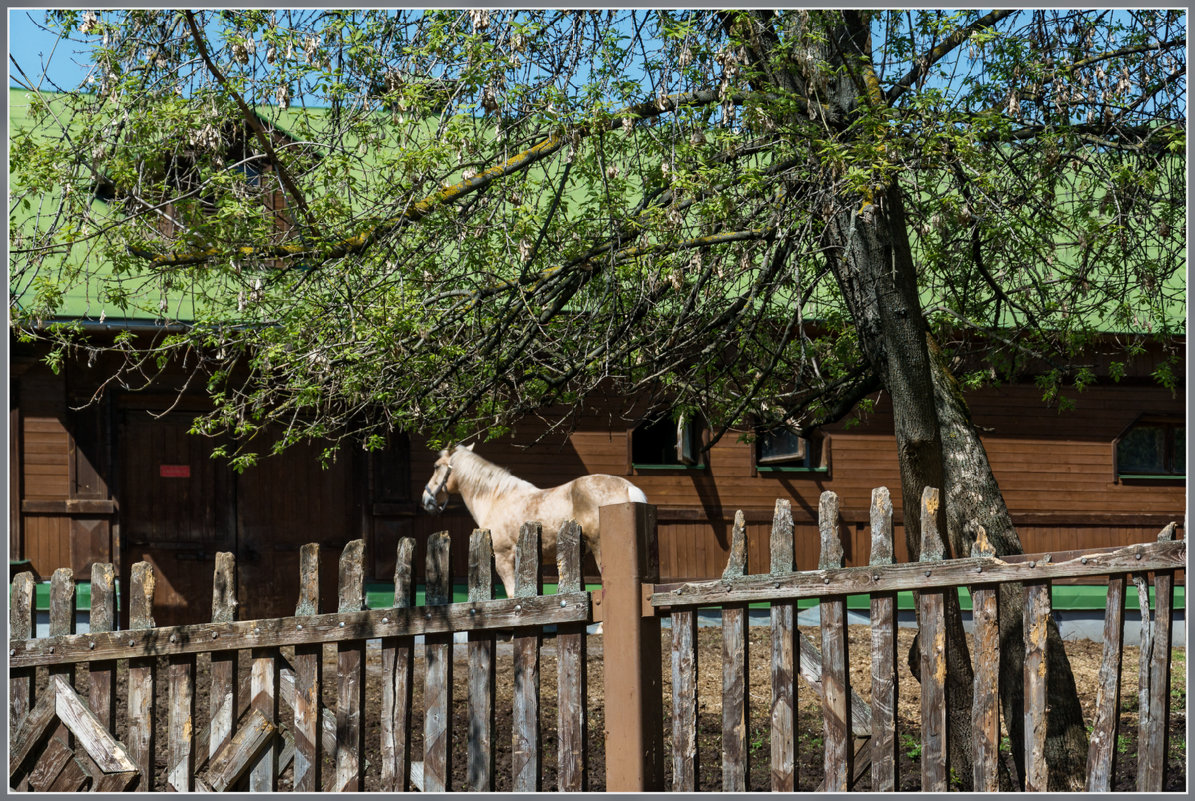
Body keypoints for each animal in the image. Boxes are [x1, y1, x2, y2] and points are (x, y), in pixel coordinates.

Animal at [418, 444, 645, 602]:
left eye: (437, 467)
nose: (426, 499)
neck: (496, 498)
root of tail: (628, 487)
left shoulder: (503, 559)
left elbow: (511, 596)